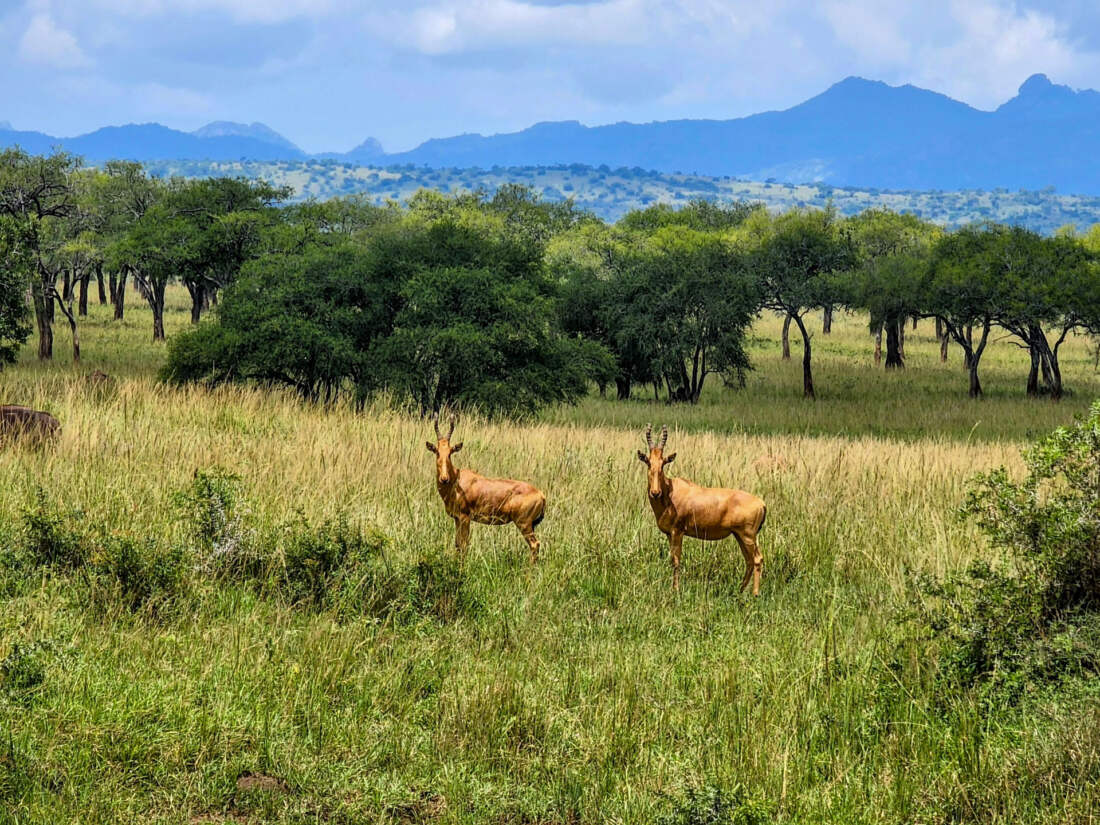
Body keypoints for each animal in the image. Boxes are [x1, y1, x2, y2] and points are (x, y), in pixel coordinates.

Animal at [429, 415, 550, 567]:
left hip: (524, 524)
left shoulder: (465, 518)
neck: (457, 479)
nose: (444, 479)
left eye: (451, 452)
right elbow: (457, 544)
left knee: (535, 544)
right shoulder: (457, 518)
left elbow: (464, 545)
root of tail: (541, 494)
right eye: (437, 451)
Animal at [642, 426, 770, 594]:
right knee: (748, 560)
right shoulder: (670, 534)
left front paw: (675, 590)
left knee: (757, 559)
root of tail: (762, 503)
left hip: (748, 536)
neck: (671, 491)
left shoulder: (678, 532)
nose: (655, 492)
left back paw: (754, 593)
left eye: (663, 463)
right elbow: (672, 560)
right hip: (739, 535)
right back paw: (740, 590)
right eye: (648, 462)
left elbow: (676, 560)